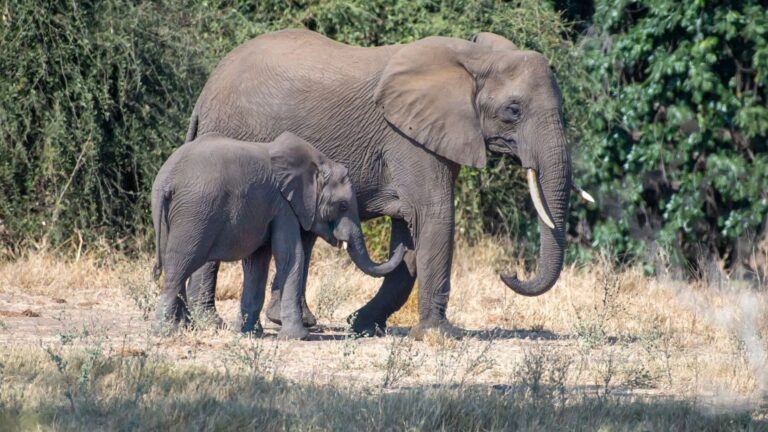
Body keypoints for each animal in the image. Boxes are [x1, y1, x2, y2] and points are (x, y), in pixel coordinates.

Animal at [151, 131, 405, 339]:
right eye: (342, 205)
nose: (404, 241)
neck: (316, 162)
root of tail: (167, 180)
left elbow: (257, 262)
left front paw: (249, 334)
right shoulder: (284, 204)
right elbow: (291, 256)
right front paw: (298, 337)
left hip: (168, 215)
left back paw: (181, 328)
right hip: (194, 215)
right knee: (179, 267)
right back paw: (165, 332)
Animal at [183, 29, 585, 339]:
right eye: (513, 111)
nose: (508, 272)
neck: (473, 57)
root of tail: (203, 95)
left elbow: (409, 232)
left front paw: (360, 325)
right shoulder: (407, 138)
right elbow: (434, 216)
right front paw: (441, 334)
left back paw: (295, 321)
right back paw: (211, 323)